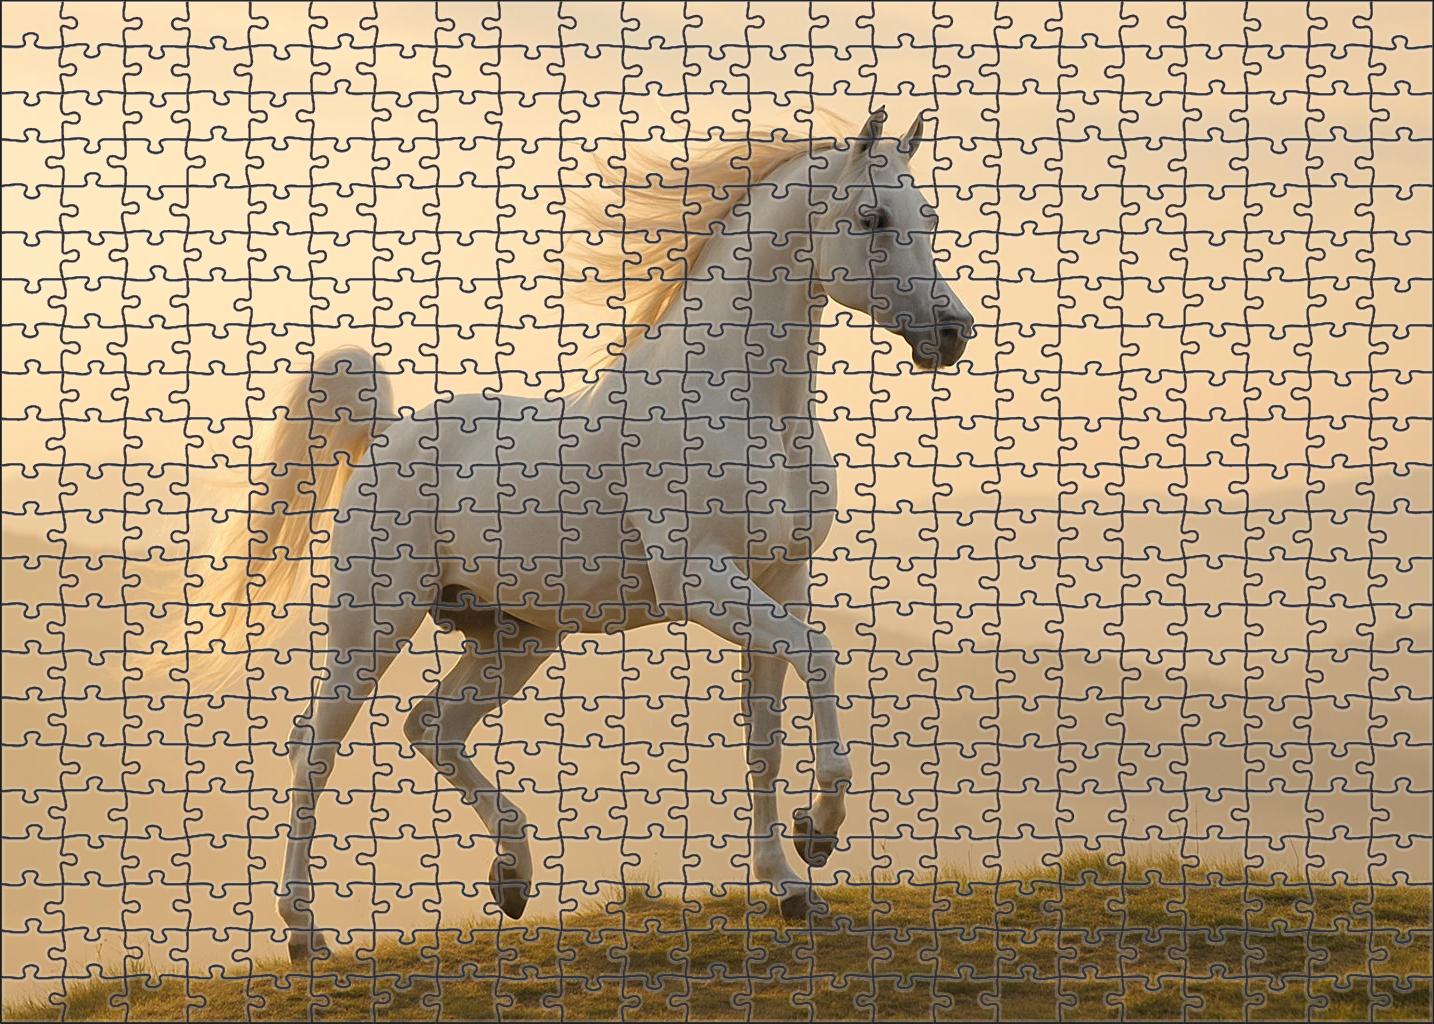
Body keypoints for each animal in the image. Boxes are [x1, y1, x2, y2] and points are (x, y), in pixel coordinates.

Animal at [197, 108, 975, 962]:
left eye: (929, 218)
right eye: (872, 219)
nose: (953, 333)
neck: (741, 403)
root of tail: (385, 437)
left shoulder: (778, 584)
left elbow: (765, 734)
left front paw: (791, 884)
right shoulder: (701, 582)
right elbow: (821, 656)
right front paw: (820, 834)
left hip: (516, 637)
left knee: (433, 726)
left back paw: (512, 877)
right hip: (370, 630)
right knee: (316, 749)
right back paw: (305, 931)